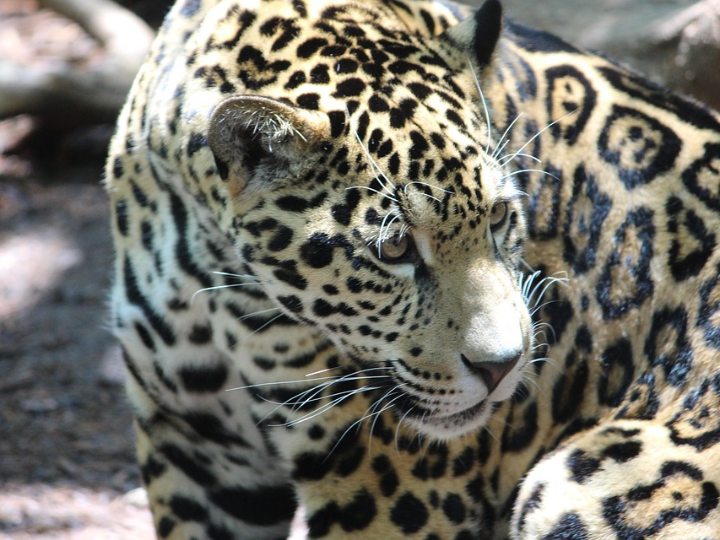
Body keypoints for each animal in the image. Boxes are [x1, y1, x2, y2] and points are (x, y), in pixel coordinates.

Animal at [105, 0, 720, 537]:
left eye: (499, 216)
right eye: (396, 248)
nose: (503, 368)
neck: (215, 275)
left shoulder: (390, 489)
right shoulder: (197, 451)